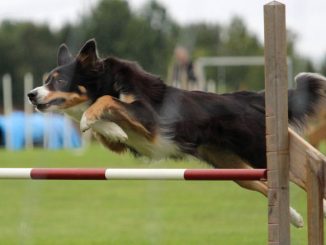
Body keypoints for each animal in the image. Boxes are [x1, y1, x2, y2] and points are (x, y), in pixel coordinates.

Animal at [28, 38, 326, 228]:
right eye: (45, 81)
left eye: (59, 81)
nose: (31, 94)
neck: (105, 82)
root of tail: (250, 98)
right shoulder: (132, 139)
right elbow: (107, 127)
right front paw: (111, 128)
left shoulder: (149, 118)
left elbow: (106, 101)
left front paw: (91, 117)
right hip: (232, 168)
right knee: (264, 186)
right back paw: (296, 218)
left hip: (260, 152)